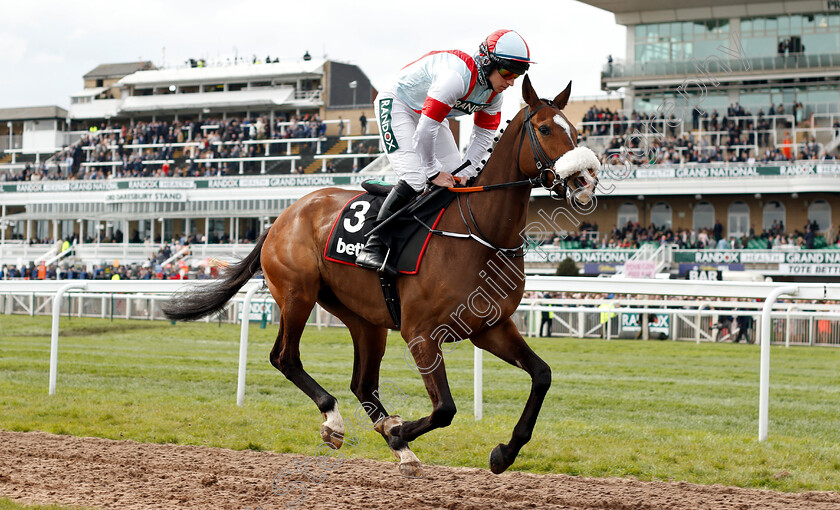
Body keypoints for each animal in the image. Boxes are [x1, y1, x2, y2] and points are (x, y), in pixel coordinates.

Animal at [162, 76, 596, 478]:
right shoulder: (421, 333)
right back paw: (337, 421)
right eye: (545, 129)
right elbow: (445, 408)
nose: (584, 181)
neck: (479, 232)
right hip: (297, 295)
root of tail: (283, 215)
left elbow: (542, 375)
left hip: (364, 319)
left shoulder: (491, 327)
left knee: (362, 383)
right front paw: (398, 431)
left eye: (576, 132)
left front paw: (504, 452)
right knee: (285, 357)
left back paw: (397, 446)